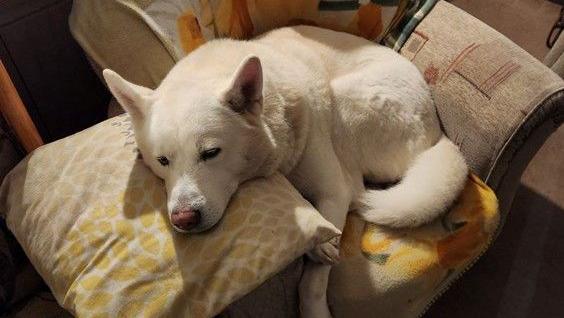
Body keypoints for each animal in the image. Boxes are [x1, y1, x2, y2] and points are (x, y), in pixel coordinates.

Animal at [101, 26, 468, 316]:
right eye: (162, 161)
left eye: (211, 153)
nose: (183, 219)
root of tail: (438, 133)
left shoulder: (333, 191)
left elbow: (314, 275)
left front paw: (316, 296)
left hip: (344, 100)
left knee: (357, 189)